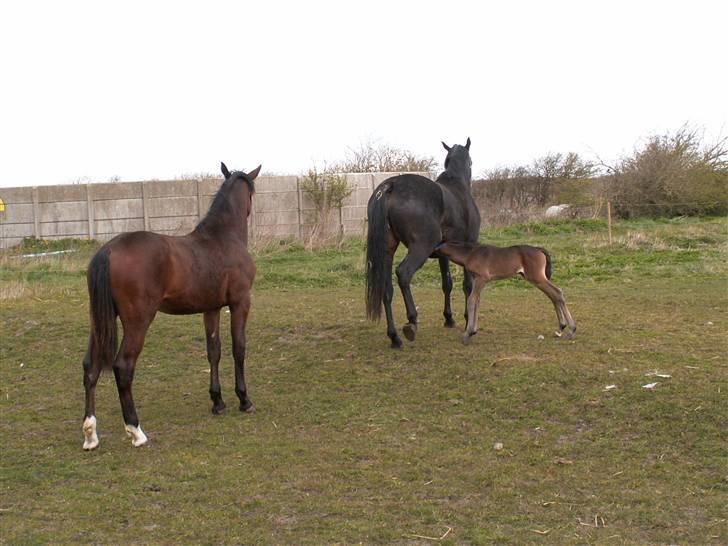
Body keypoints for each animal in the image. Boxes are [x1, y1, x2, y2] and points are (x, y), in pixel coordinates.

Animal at [82, 160, 262, 446]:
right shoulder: (240, 302)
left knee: (90, 367)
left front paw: (218, 402)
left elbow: (214, 351)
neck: (223, 238)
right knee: (123, 366)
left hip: (99, 321)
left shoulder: (211, 308)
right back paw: (136, 430)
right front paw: (244, 400)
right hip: (137, 322)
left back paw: (90, 434)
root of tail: (108, 250)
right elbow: (239, 348)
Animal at [366, 138, 480, 346]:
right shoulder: (469, 246)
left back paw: (394, 337)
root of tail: (391, 185)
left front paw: (449, 318)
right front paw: (468, 321)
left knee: (387, 290)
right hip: (421, 248)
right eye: (471, 161)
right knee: (403, 273)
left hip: (387, 251)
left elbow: (447, 283)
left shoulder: (444, 253)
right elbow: (467, 285)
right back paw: (411, 321)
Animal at [436, 240, 576, 342]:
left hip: (537, 278)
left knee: (557, 292)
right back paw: (561, 328)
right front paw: (473, 331)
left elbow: (471, 300)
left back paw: (571, 330)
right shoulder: (477, 280)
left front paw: (467, 334)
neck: (470, 253)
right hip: (537, 278)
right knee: (553, 295)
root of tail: (538, 249)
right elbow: (477, 302)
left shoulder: (481, 279)